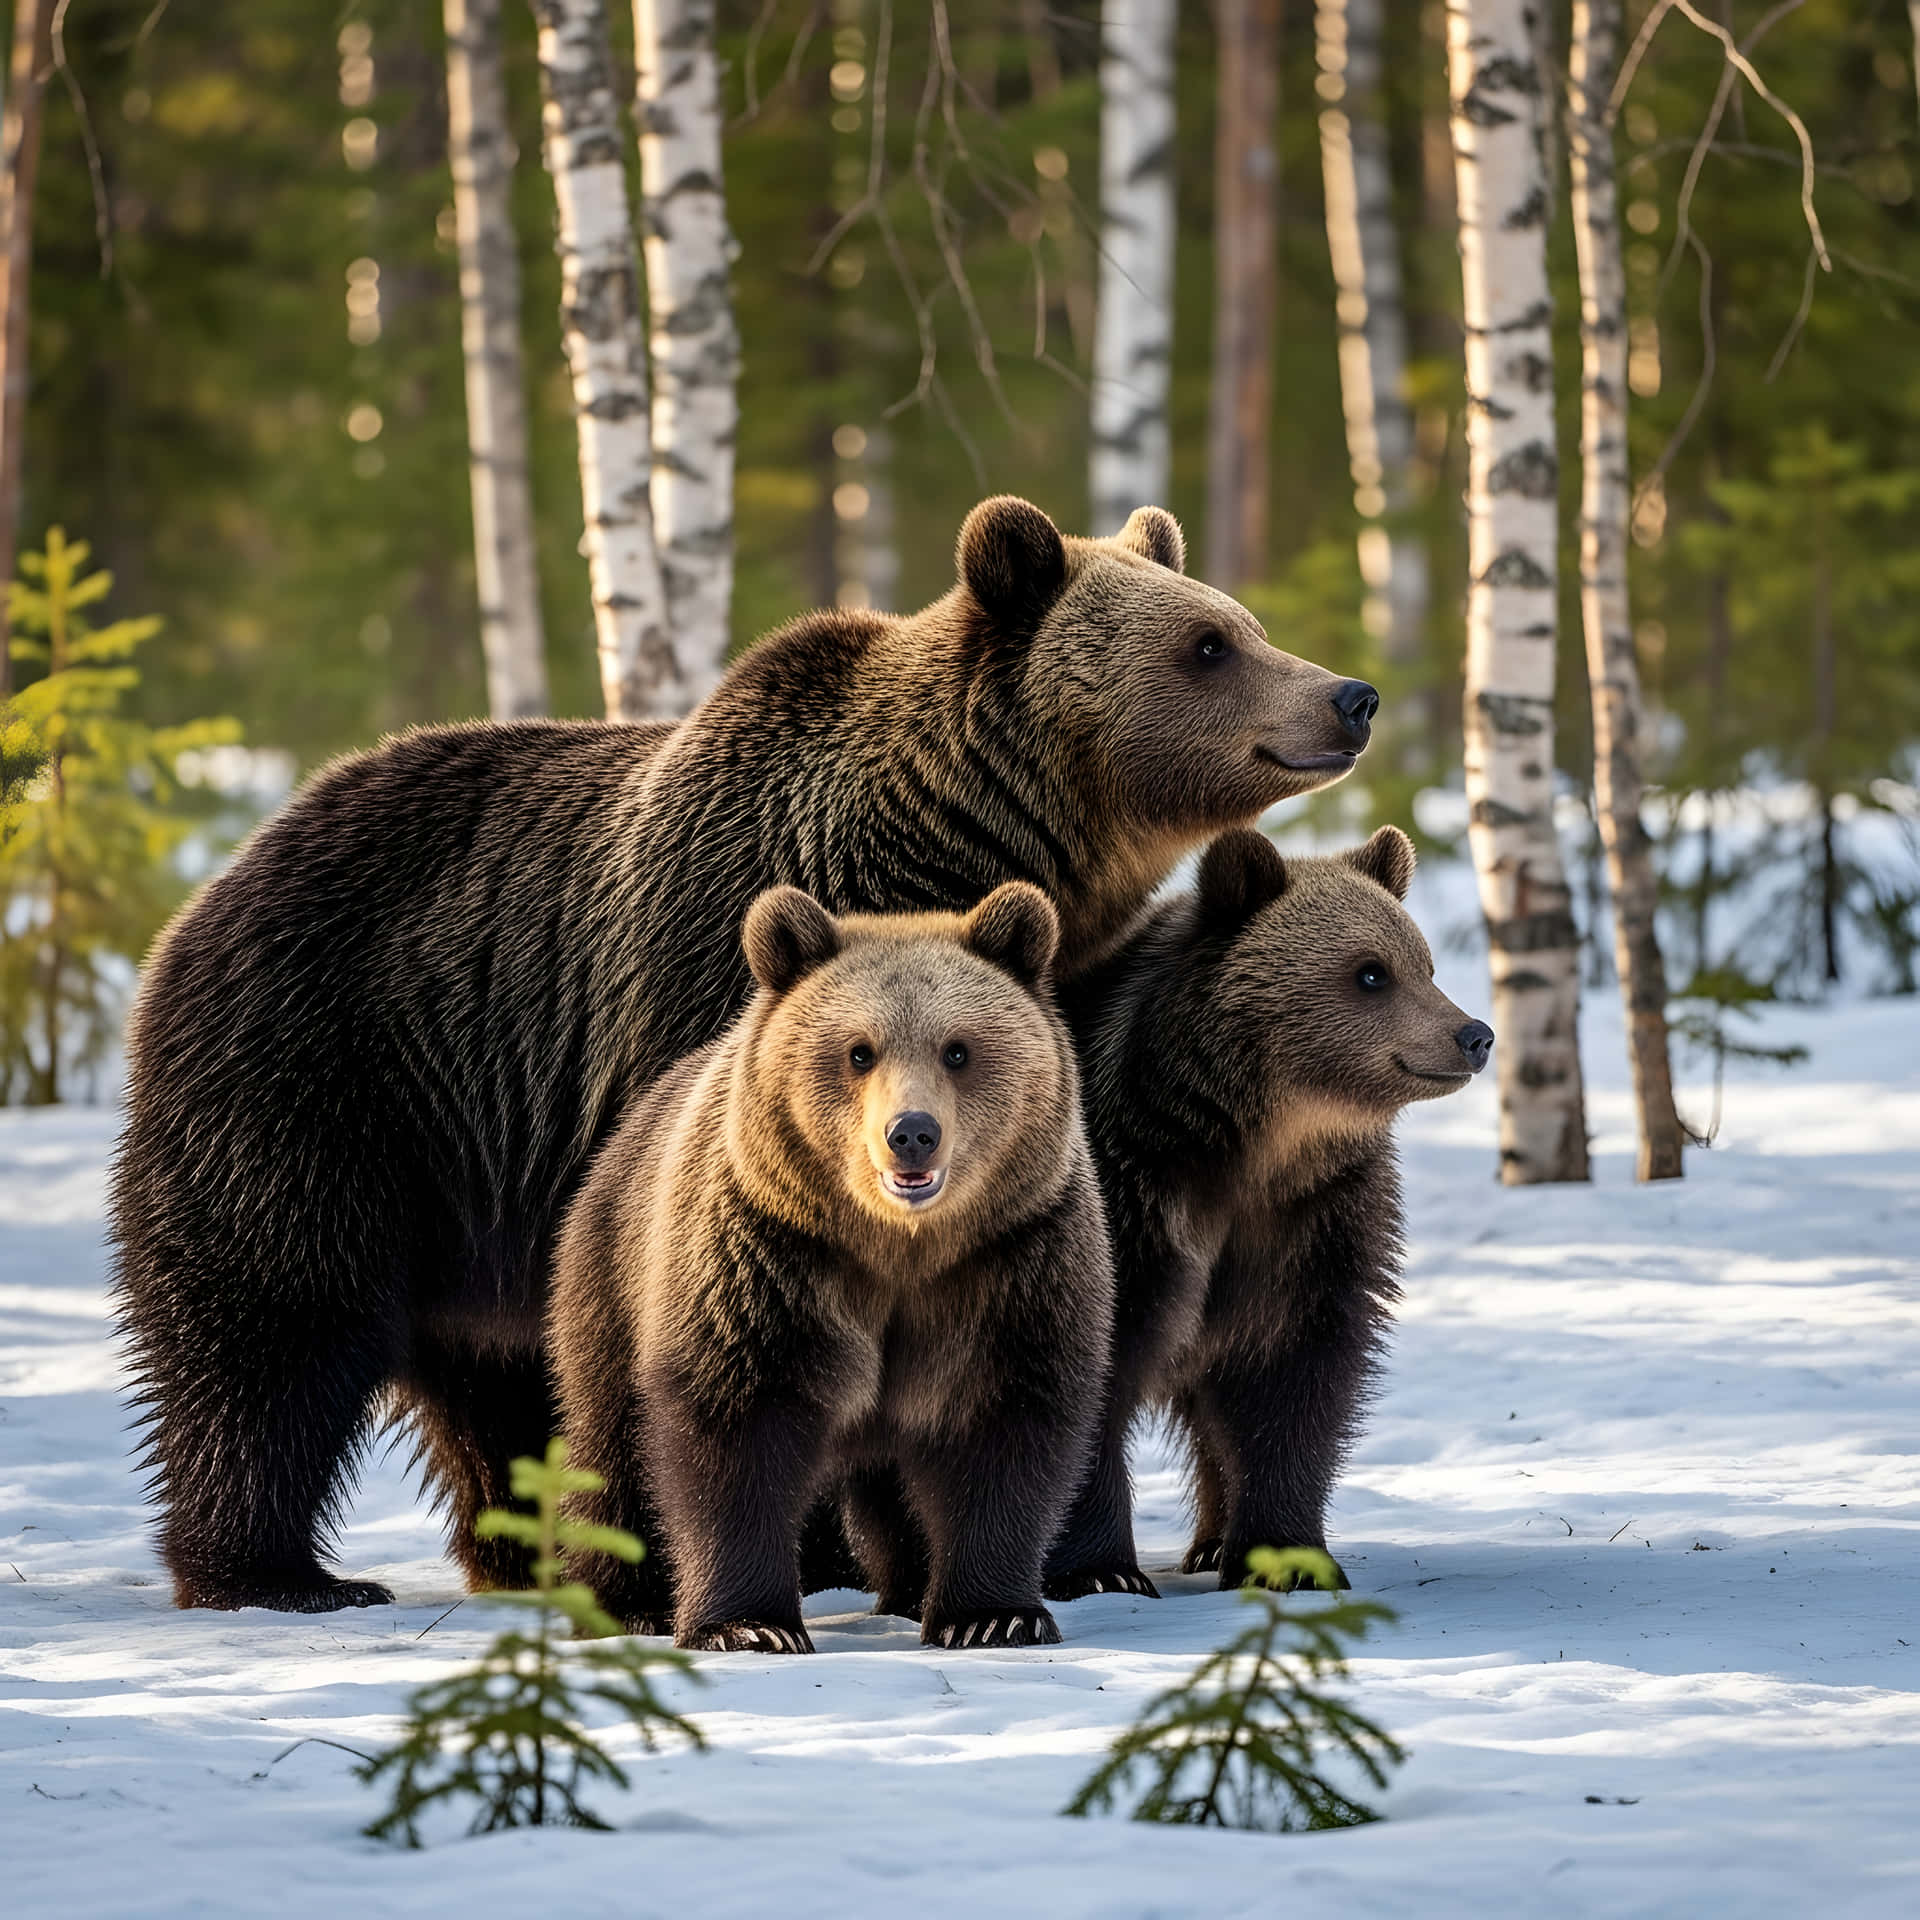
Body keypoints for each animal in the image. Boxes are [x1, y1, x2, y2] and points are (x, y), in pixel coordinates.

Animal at [549, 881, 1112, 1653]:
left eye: (957, 1050)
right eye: (858, 1051)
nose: (912, 1133)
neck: (895, 1246)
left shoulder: (1009, 1261)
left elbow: (1004, 1423)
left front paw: (992, 1615)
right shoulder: (770, 1257)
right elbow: (735, 1426)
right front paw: (750, 1625)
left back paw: (908, 1590)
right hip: (609, 1275)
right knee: (612, 1448)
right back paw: (625, 1604)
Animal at [1035, 825, 1492, 1599]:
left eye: (1425, 964)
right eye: (1371, 972)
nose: (1475, 1035)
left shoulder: (1312, 1222)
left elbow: (1294, 1379)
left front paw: (1285, 1557)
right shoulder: (1132, 1204)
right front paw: (1099, 1568)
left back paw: (1211, 1544)